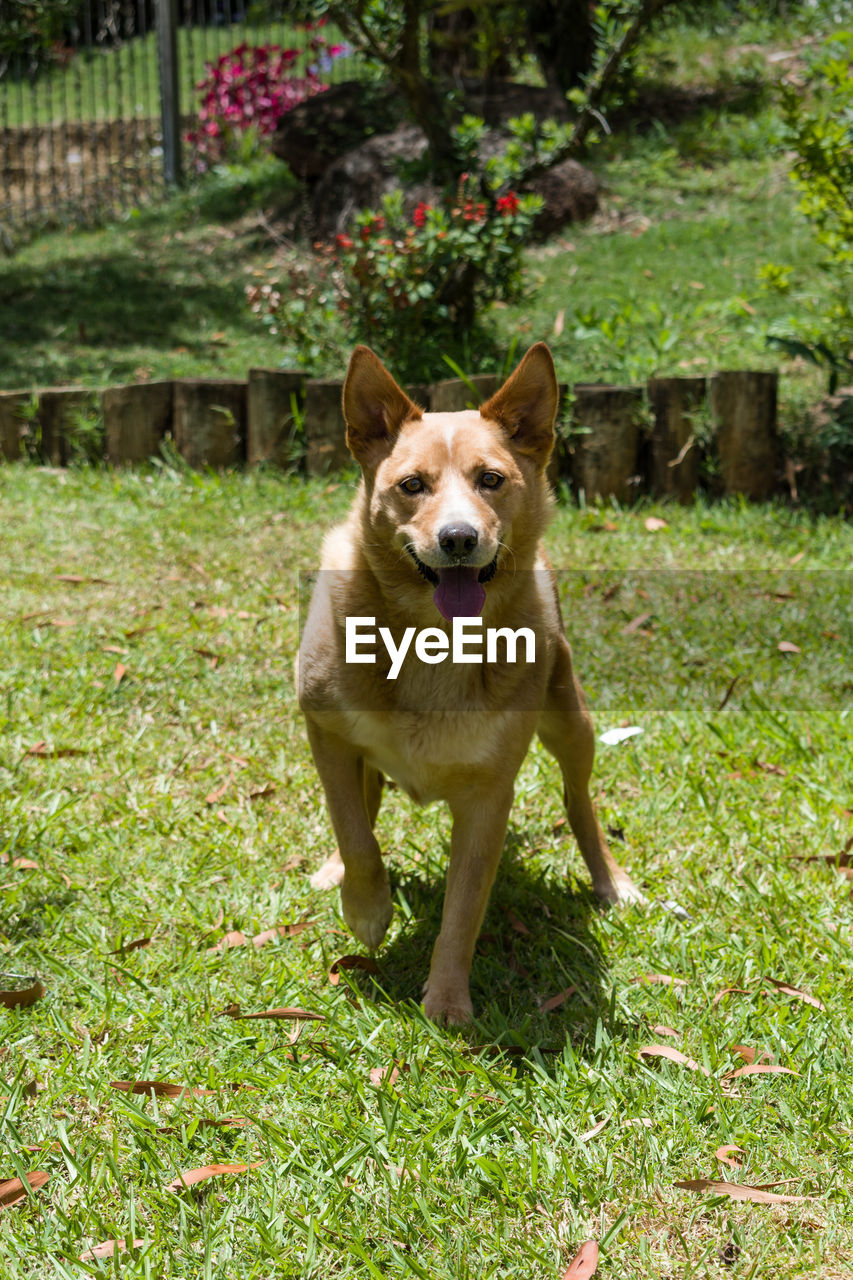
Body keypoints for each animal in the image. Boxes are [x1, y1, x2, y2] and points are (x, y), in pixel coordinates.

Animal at [298, 340, 637, 1018]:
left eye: (491, 479)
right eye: (412, 485)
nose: (458, 538)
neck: (431, 640)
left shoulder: (488, 796)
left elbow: (463, 909)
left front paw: (448, 1000)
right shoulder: (325, 729)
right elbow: (354, 831)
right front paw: (366, 906)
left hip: (571, 720)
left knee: (579, 802)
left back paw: (611, 880)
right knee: (361, 806)